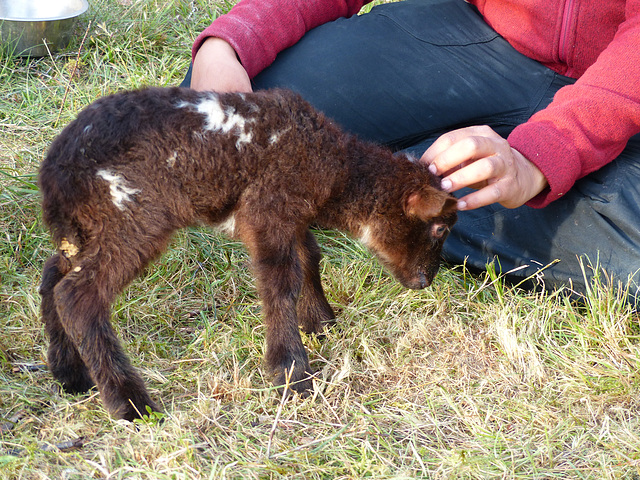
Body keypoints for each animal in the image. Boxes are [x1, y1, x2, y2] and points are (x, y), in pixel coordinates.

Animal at [37, 87, 458, 420]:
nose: (425, 280)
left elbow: (309, 258)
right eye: (440, 228)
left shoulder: (290, 214)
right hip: (132, 216)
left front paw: (321, 322)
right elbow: (281, 283)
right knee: (78, 296)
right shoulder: (268, 207)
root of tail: (54, 174)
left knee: (53, 274)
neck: (336, 167)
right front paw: (292, 376)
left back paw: (70, 373)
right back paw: (132, 405)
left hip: (86, 228)